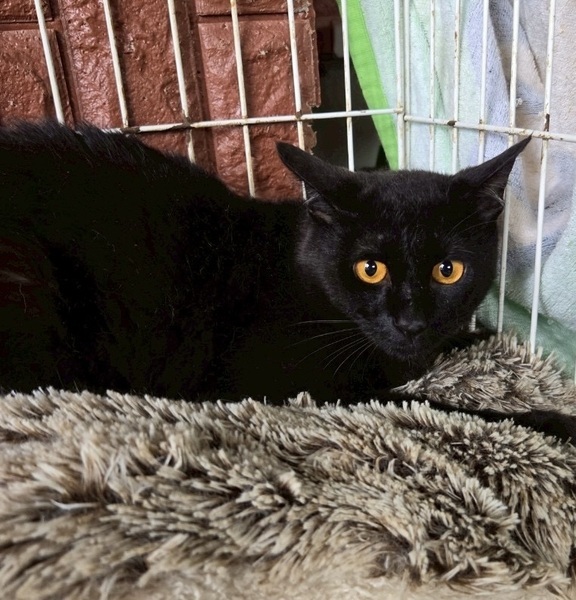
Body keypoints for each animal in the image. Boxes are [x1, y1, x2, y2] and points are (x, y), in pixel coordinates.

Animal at [0, 120, 574, 442]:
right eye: (369, 269)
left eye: (447, 270)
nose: (410, 321)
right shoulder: (295, 386)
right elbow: (431, 405)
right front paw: (551, 422)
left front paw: (471, 335)